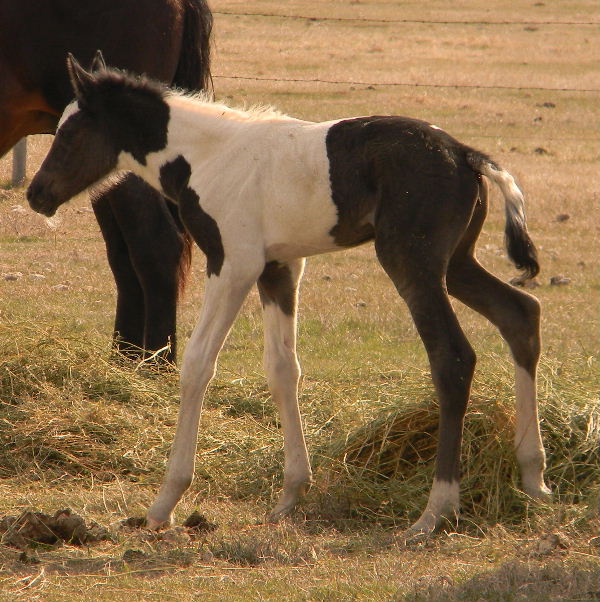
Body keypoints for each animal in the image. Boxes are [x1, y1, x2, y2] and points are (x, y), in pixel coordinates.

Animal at [0, 0, 213, 364]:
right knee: (124, 256)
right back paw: (123, 360)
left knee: (155, 244)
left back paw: (155, 365)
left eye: (69, 134)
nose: (35, 194)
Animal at [27, 58, 551, 538]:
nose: (36, 194)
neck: (208, 157)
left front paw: (165, 503)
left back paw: (435, 510)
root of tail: (464, 153)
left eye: (68, 134)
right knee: (520, 314)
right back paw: (534, 478)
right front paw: (291, 495)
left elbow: (198, 363)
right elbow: (282, 369)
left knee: (453, 356)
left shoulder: (233, 264)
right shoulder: (279, 268)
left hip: (412, 263)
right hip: (457, 263)